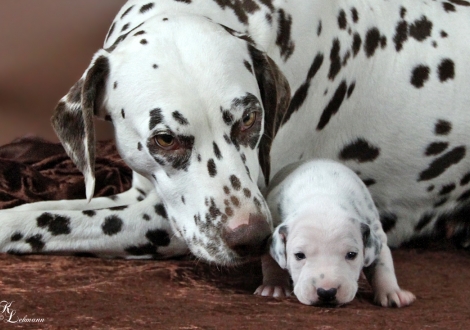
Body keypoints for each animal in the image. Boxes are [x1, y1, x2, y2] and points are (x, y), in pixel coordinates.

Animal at [264, 159, 414, 306]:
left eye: (352, 255)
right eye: (299, 255)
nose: (326, 292)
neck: (323, 198)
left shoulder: (376, 234)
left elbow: (382, 266)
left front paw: (391, 292)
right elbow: (272, 261)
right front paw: (275, 285)